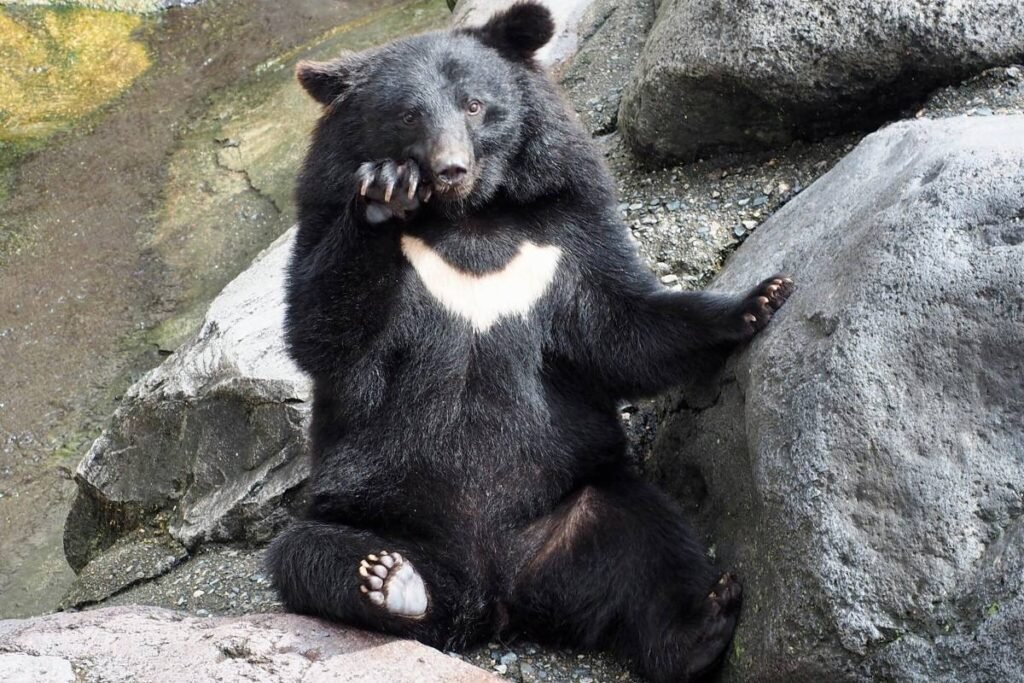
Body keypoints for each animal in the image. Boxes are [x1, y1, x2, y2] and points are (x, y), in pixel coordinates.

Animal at [265, 3, 793, 682]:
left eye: (474, 105)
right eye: (407, 115)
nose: (450, 169)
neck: (469, 218)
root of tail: (499, 595)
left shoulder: (565, 230)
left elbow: (622, 325)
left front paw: (763, 297)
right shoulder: (324, 225)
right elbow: (324, 334)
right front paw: (383, 194)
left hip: (588, 503)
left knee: (653, 541)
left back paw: (705, 619)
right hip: (368, 511)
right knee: (306, 556)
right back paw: (391, 583)